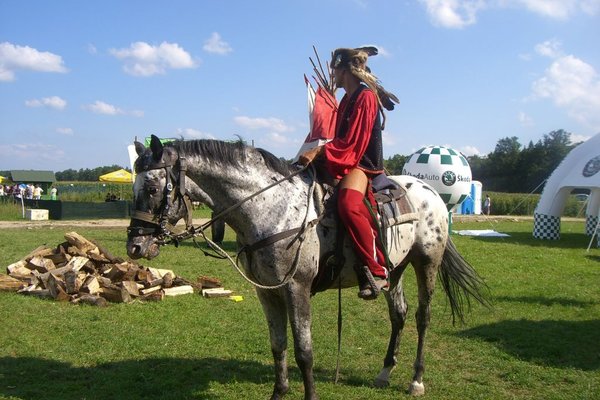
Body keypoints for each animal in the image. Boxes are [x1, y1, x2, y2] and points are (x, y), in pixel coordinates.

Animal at [125, 136, 488, 398]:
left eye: (154, 188)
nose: (135, 246)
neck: (271, 209)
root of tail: (431, 192)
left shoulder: (295, 288)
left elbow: (304, 351)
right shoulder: (266, 292)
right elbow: (278, 344)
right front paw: (279, 391)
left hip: (426, 263)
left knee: (423, 318)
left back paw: (416, 380)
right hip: (393, 270)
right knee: (399, 314)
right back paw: (385, 372)